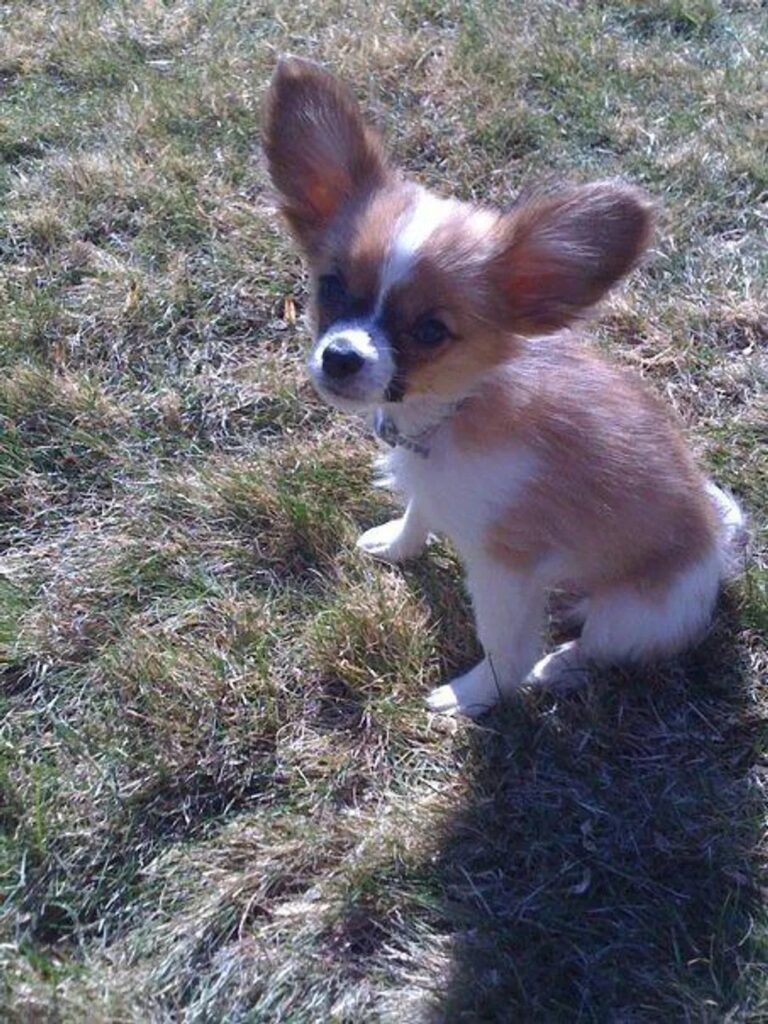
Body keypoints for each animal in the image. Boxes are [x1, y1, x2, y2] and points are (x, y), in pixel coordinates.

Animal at [264, 56, 745, 712]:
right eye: (331, 287)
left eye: (431, 331)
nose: (340, 358)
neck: (454, 410)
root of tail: (717, 552)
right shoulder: (433, 486)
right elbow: (418, 510)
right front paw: (396, 545)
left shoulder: (504, 570)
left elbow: (503, 648)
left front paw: (472, 699)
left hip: (632, 611)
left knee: (599, 646)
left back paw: (557, 666)